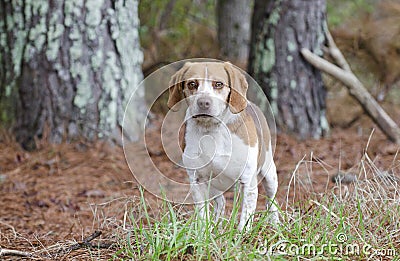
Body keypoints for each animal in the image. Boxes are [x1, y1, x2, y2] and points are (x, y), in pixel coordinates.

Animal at [167, 62, 276, 229]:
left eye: (218, 84)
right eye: (192, 84)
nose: (203, 102)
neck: (211, 130)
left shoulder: (247, 181)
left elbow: (245, 216)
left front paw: (241, 234)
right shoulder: (197, 181)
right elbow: (202, 214)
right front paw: (204, 233)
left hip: (269, 174)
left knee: (272, 202)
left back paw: (276, 225)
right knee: (221, 203)